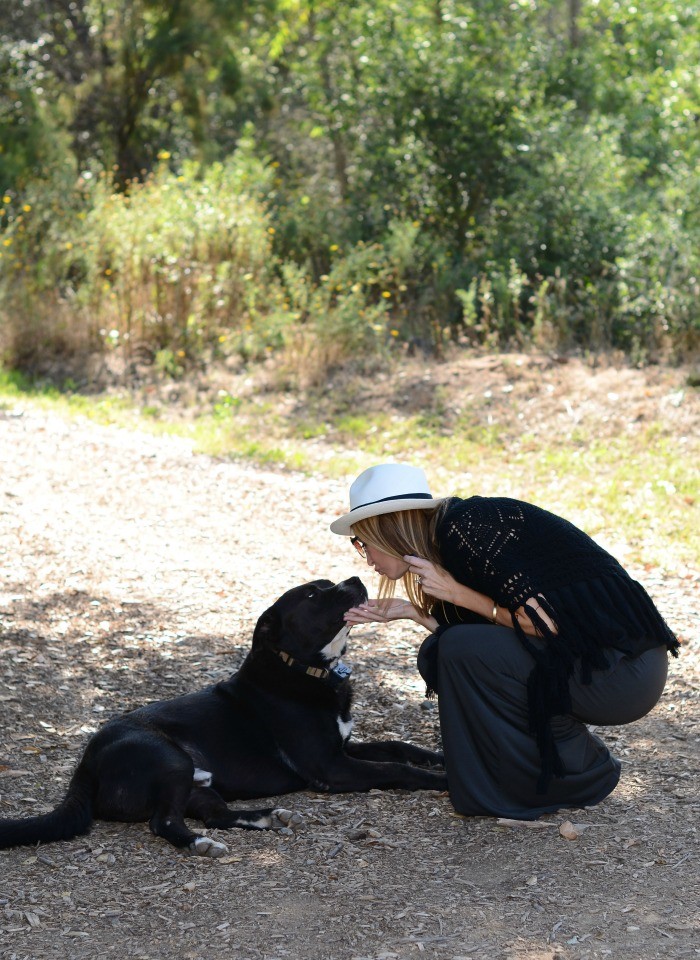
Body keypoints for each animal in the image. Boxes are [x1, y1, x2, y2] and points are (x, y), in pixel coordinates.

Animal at [0, 576, 446, 856]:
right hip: (170, 759)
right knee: (164, 822)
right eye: (311, 596)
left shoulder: (345, 745)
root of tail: (84, 766)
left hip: (198, 782)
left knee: (216, 815)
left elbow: (398, 745)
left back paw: (268, 817)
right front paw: (441, 779)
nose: (354, 577)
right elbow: (399, 770)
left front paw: (439, 757)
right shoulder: (331, 766)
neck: (302, 669)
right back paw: (199, 844)